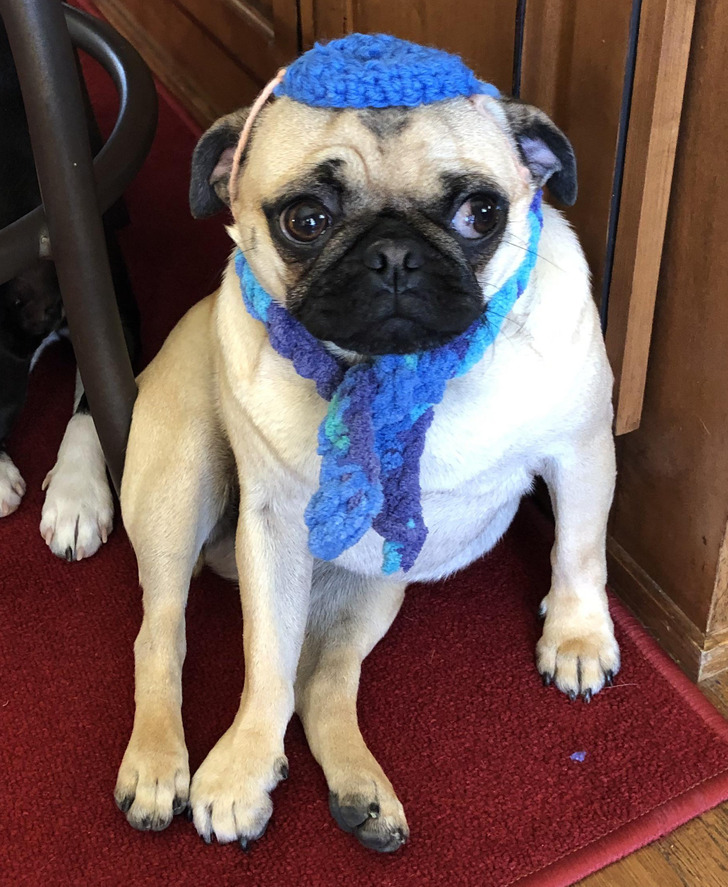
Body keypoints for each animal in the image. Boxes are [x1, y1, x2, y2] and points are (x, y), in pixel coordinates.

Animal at [115, 50, 618, 854]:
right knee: (163, 635)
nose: (393, 256)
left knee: (322, 685)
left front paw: (574, 636)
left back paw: (363, 795)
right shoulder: (272, 528)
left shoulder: (581, 449)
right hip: (180, 487)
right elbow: (264, 664)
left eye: (480, 213)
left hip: (378, 584)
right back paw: (161, 766)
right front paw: (241, 768)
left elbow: (578, 548)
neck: (405, 374)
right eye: (306, 221)